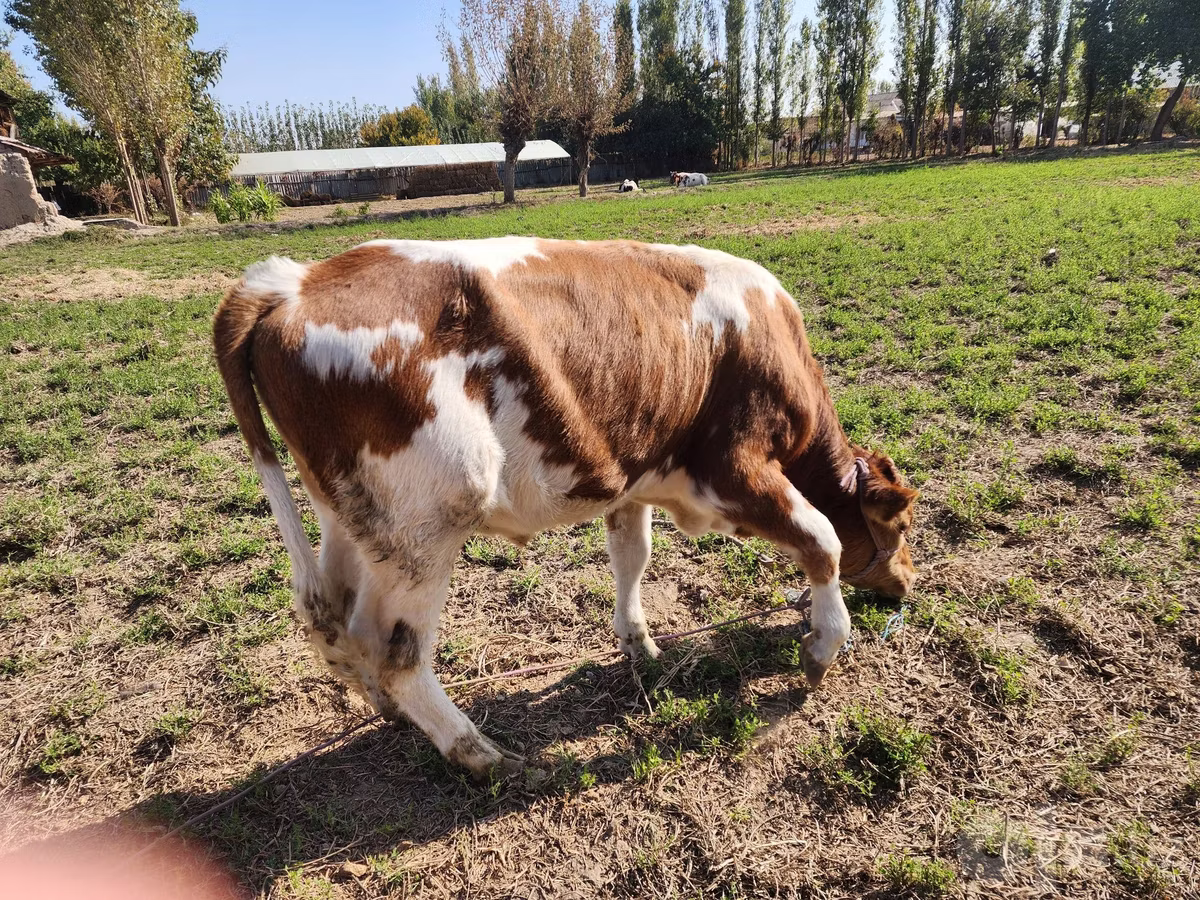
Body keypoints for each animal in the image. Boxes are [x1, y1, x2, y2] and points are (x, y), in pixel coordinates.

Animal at [213, 237, 918, 779]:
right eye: (902, 524)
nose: (907, 583)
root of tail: (292, 281)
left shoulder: (634, 481)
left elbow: (633, 556)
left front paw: (639, 642)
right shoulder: (734, 470)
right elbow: (823, 538)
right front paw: (823, 646)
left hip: (351, 519)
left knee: (333, 616)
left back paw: (384, 708)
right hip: (429, 522)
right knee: (395, 651)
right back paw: (481, 753)